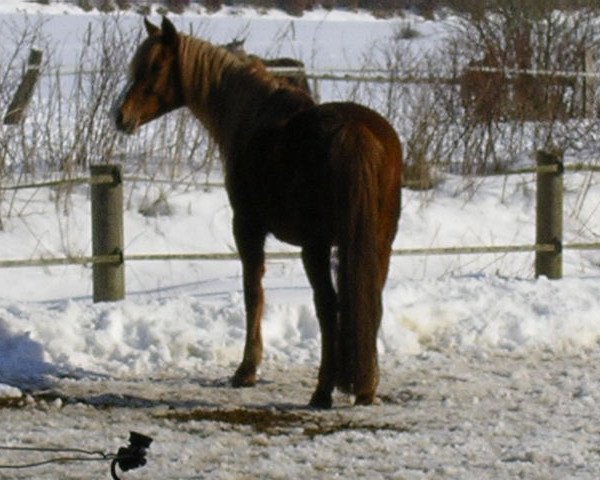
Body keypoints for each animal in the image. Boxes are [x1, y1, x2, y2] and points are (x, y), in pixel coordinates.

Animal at [112, 18, 404, 408]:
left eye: (156, 66)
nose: (121, 117)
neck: (253, 115)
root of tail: (355, 132)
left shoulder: (247, 229)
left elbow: (254, 294)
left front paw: (246, 370)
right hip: (377, 244)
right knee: (370, 303)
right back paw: (366, 387)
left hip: (316, 248)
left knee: (328, 306)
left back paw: (322, 391)